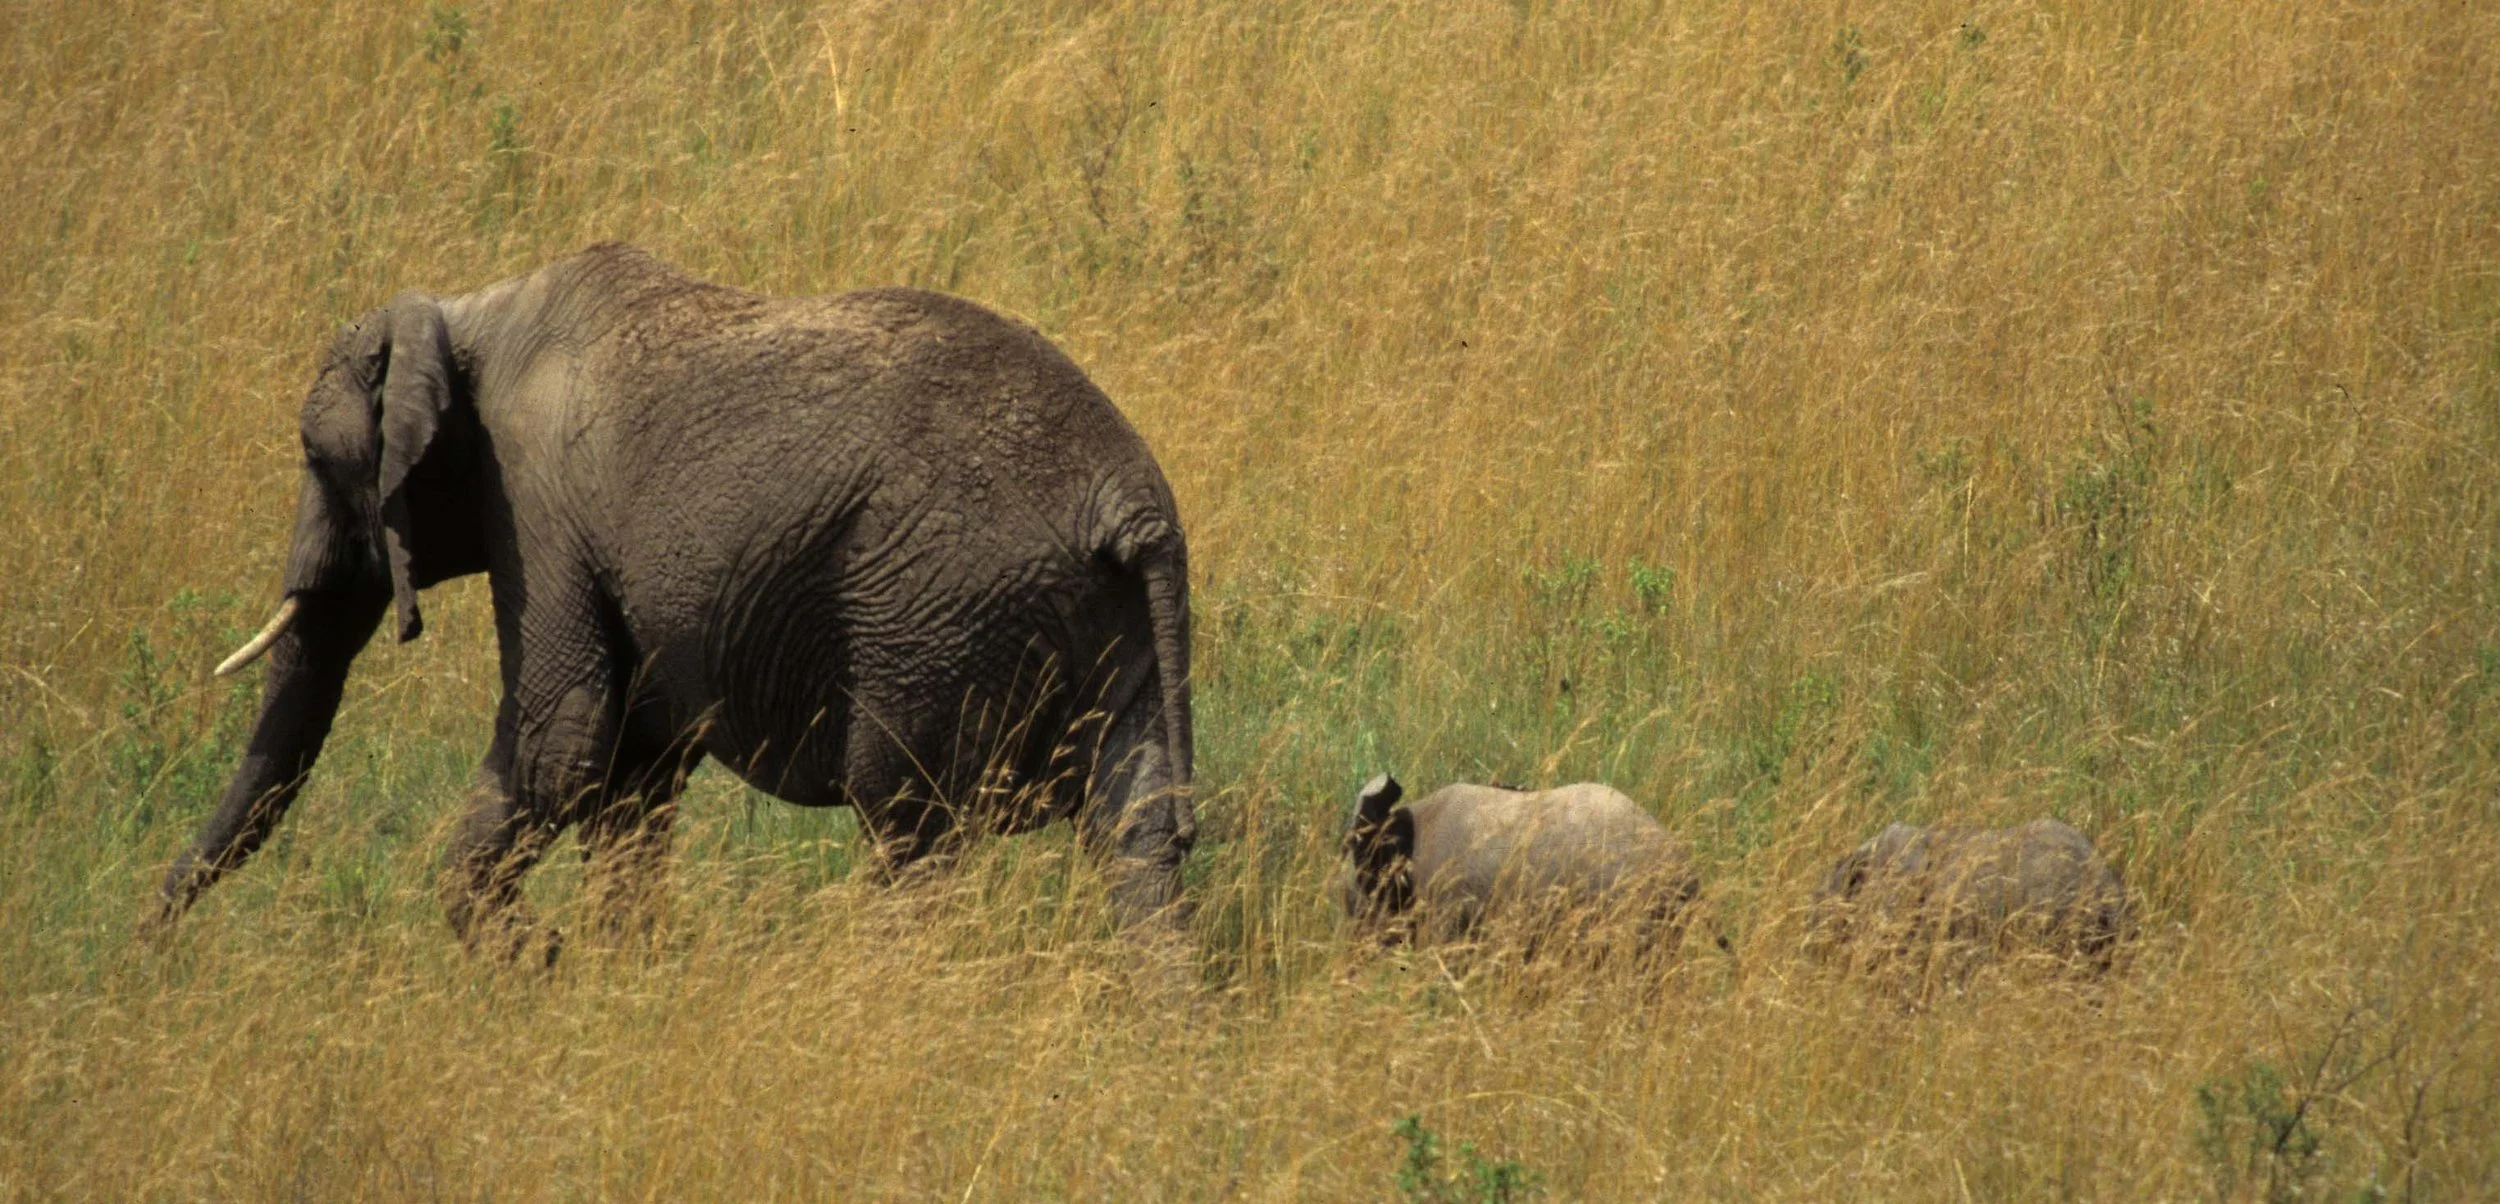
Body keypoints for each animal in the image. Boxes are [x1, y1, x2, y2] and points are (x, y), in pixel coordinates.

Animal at [154, 242, 1196, 954]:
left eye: (314, 457)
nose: (149, 942)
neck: (463, 314)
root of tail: (1129, 501)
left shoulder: (536, 510)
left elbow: (563, 739)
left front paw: (542, 963)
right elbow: (634, 772)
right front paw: (613, 974)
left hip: (934, 614)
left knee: (906, 821)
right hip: (1113, 625)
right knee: (1137, 831)